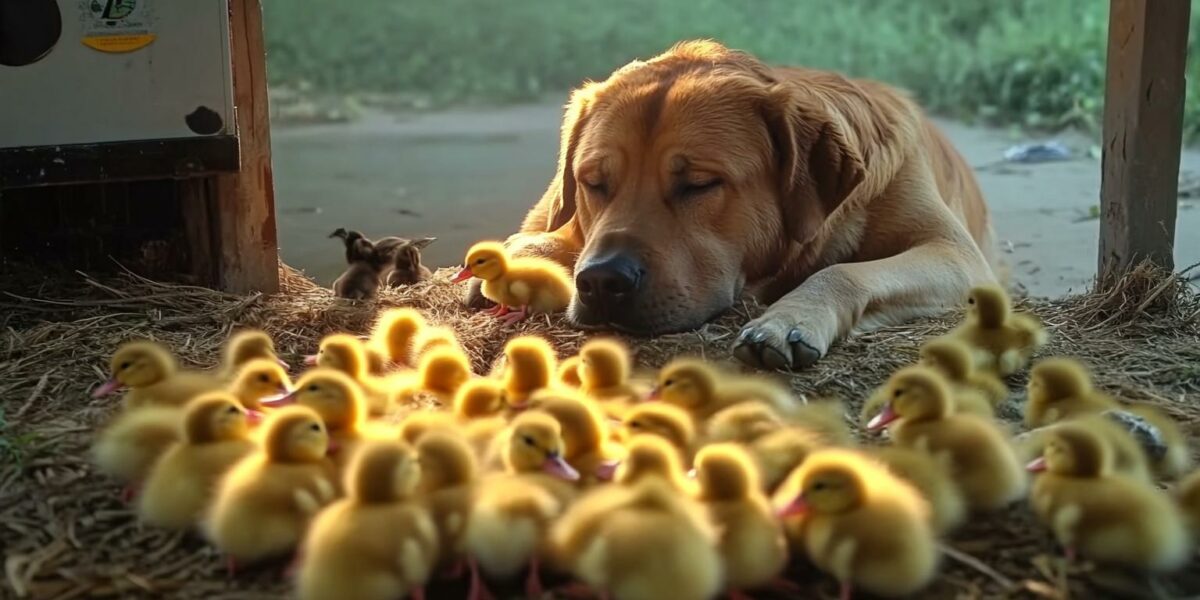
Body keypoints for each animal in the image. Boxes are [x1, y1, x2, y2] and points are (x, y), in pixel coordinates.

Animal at [465, 39, 993, 367]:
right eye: (595, 182)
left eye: (699, 184)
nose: (601, 281)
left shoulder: (955, 253)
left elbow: (843, 271)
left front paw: (790, 319)